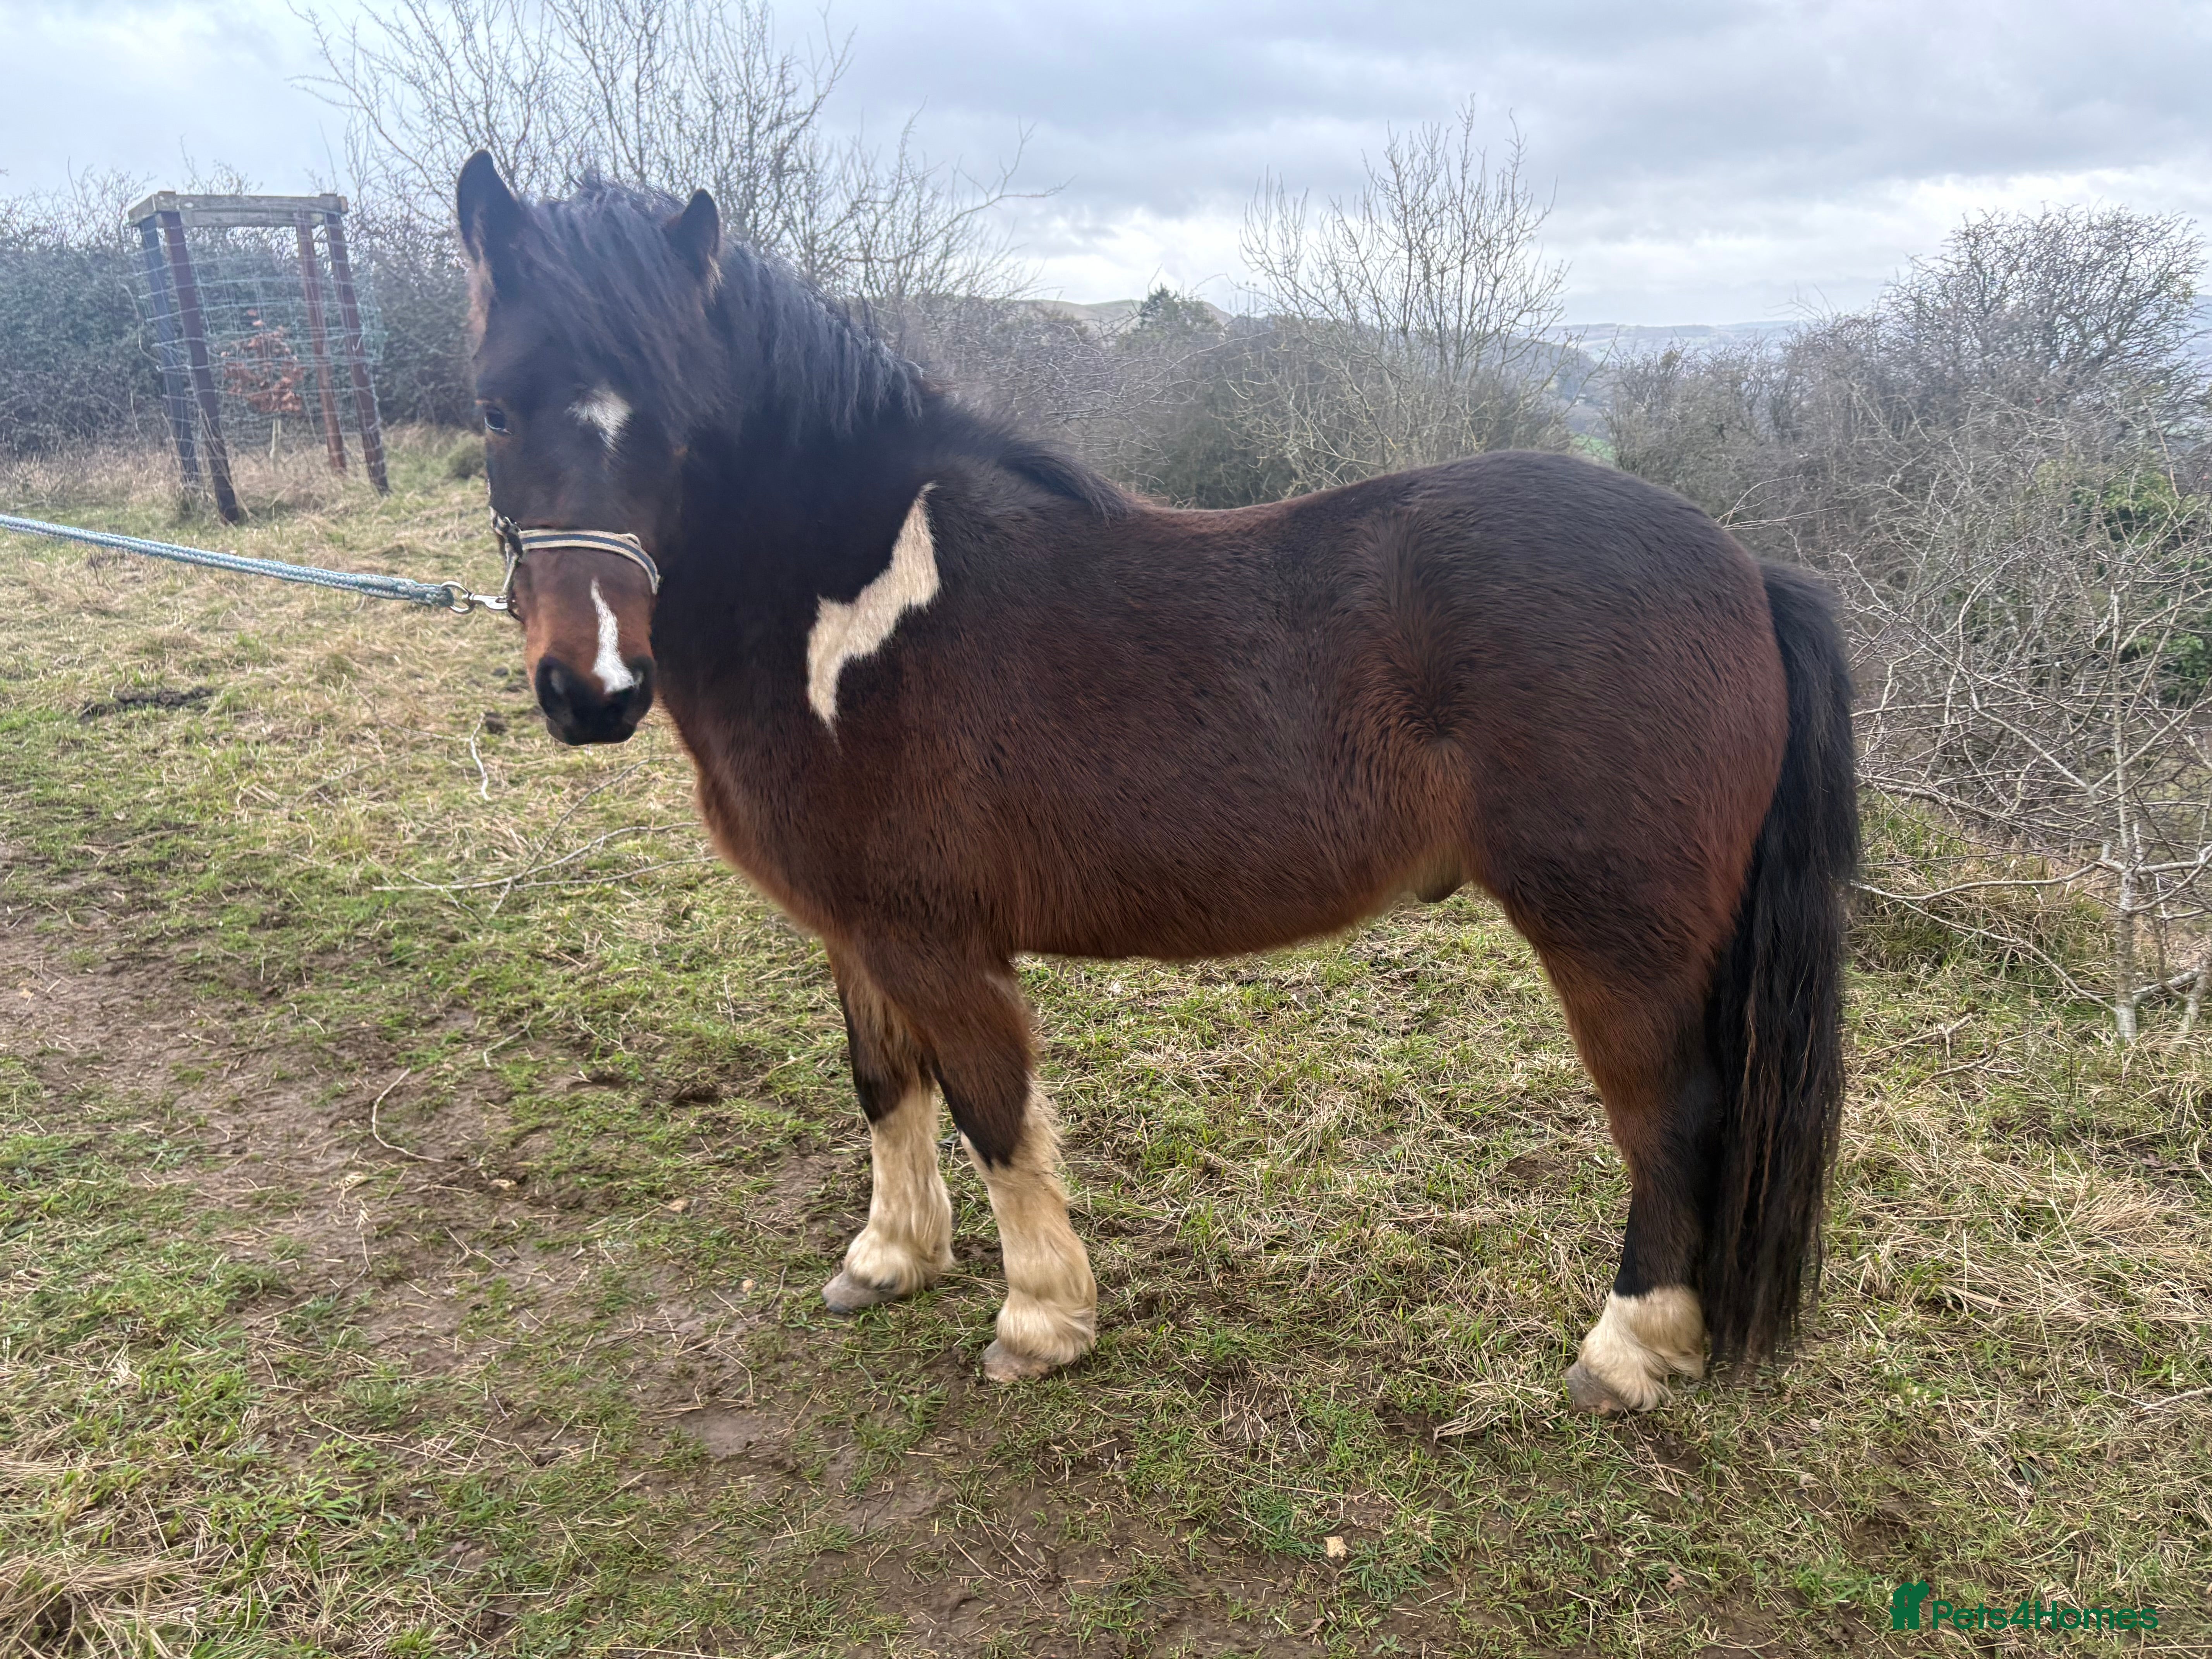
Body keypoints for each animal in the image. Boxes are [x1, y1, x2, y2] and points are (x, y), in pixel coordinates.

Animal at [452, 152, 1857, 1413]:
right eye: (498, 410)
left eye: (677, 421)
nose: (593, 687)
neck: (846, 608)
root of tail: (1744, 571)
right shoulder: (856, 931)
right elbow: (885, 1086)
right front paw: (890, 1259)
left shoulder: (935, 940)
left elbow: (994, 1110)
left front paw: (1039, 1320)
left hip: (1617, 940)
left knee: (1672, 1123)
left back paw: (1626, 1352)